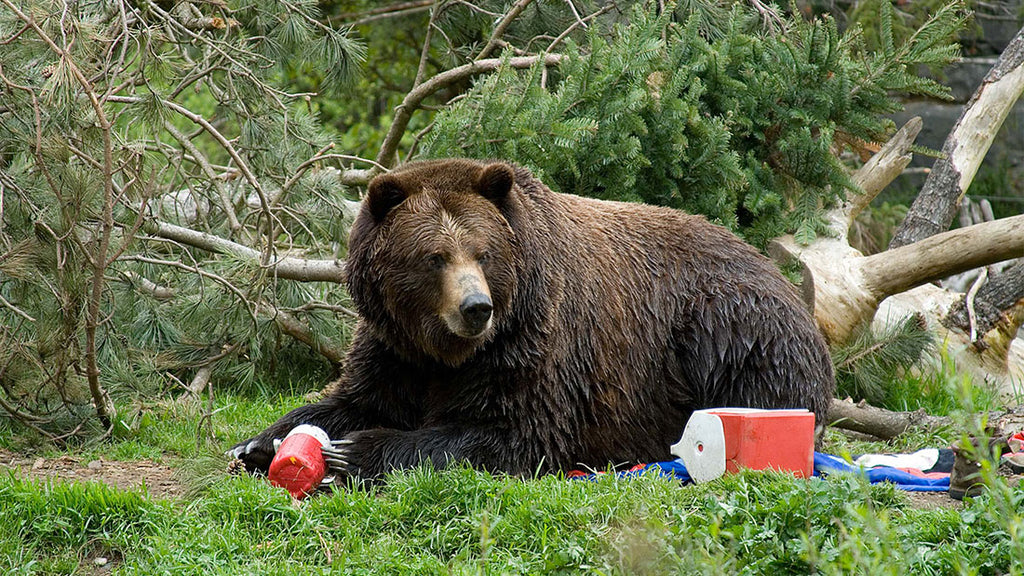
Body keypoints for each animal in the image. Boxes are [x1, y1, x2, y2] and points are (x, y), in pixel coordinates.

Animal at [228, 156, 835, 475]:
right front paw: (257, 443)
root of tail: (782, 279)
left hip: (726, 329)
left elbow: (513, 432)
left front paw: (357, 452)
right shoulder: (393, 347)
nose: (476, 308)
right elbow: (353, 396)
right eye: (434, 256)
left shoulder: (533, 344)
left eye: (483, 252)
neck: (447, 351)